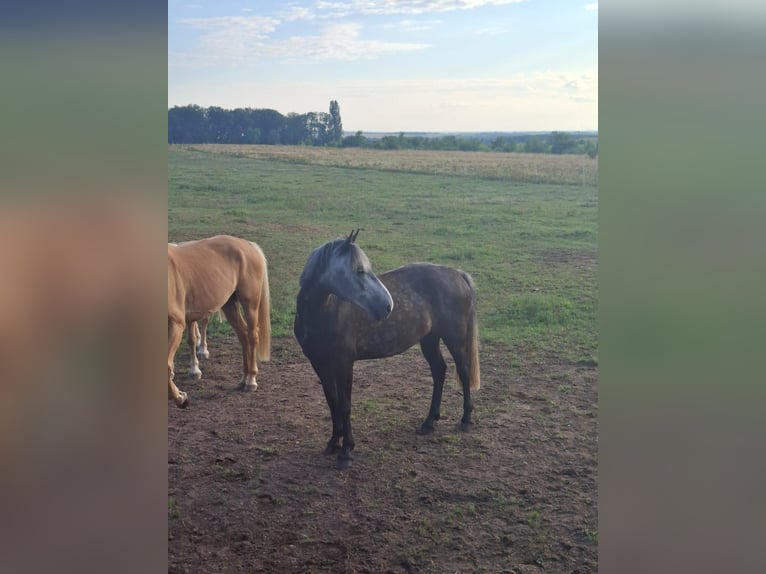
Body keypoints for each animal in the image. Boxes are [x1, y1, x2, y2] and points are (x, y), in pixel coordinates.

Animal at [168, 235, 271, 408]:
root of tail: (249, 245)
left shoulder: (176, 324)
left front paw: (181, 398)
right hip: (230, 305)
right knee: (243, 336)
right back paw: (244, 379)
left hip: (250, 304)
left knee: (252, 337)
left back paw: (251, 381)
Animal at [294, 230, 481, 469]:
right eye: (359, 270)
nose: (387, 306)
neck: (324, 312)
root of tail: (456, 274)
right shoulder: (319, 363)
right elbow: (332, 401)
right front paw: (334, 442)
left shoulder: (344, 363)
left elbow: (345, 405)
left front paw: (346, 451)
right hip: (429, 339)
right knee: (439, 371)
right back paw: (429, 422)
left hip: (454, 338)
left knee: (463, 372)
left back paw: (466, 419)